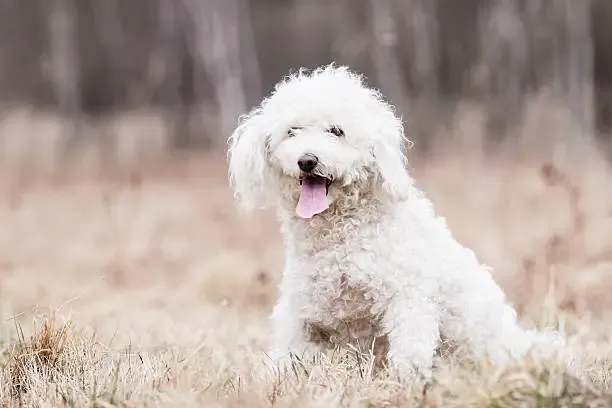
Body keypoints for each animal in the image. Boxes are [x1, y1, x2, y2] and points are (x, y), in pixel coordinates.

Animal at [228, 63, 560, 380]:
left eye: (336, 131)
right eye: (292, 131)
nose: (307, 160)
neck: (341, 239)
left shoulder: (408, 301)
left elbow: (409, 354)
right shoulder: (302, 318)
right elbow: (287, 360)